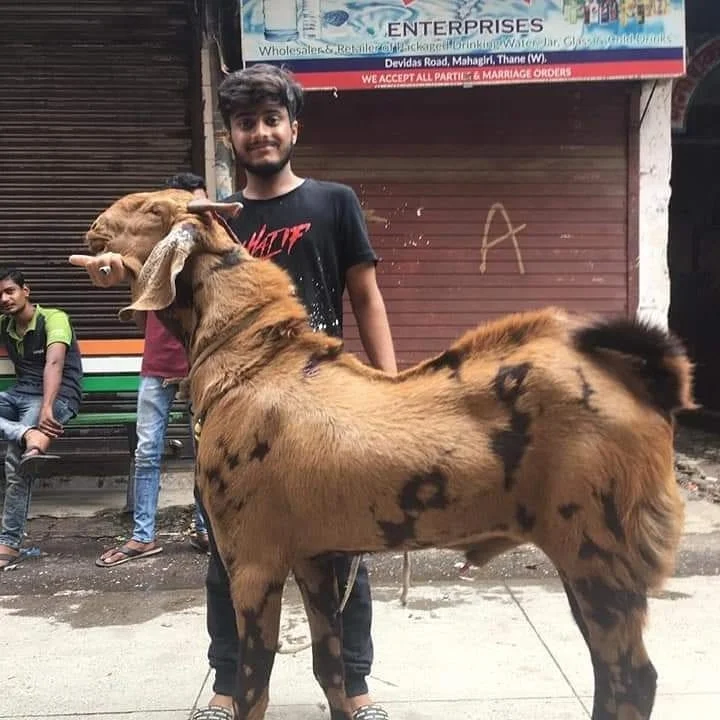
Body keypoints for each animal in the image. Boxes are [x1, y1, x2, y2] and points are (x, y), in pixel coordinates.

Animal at [81, 189, 694, 720]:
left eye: (152, 209)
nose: (94, 227)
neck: (253, 361)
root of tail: (643, 378)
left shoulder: (252, 562)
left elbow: (255, 689)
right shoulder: (315, 557)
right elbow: (328, 666)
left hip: (599, 553)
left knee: (631, 678)